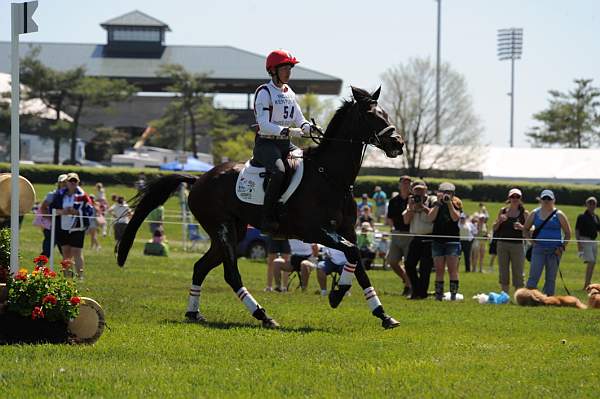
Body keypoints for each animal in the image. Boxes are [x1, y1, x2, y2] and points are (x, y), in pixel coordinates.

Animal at [116, 88, 406, 332]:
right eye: (371, 115)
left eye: (385, 113)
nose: (398, 143)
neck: (330, 177)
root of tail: (198, 179)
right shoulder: (315, 231)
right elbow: (352, 253)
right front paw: (336, 295)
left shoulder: (347, 230)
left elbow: (358, 263)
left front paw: (382, 314)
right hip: (223, 230)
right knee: (231, 274)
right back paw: (263, 315)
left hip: (233, 232)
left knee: (200, 267)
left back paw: (194, 313)